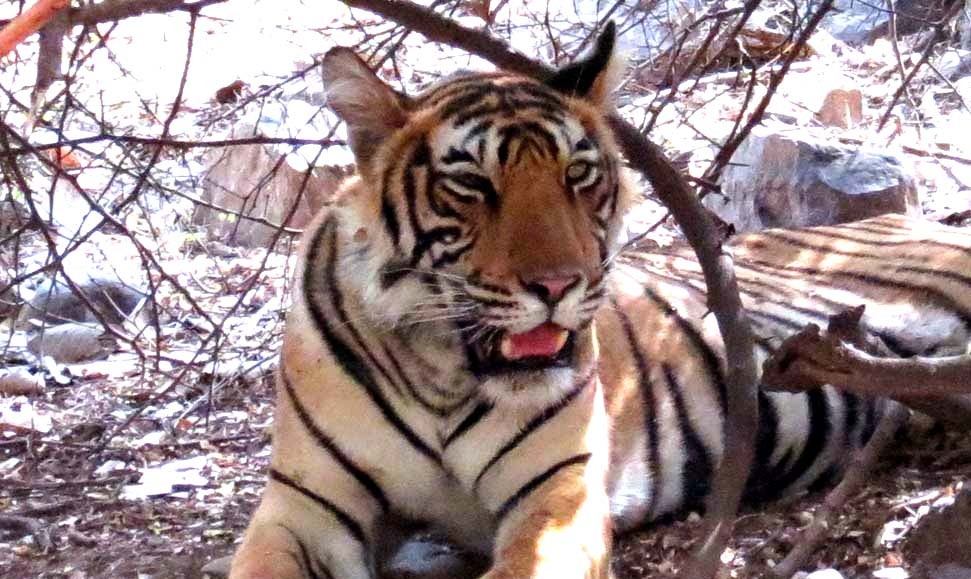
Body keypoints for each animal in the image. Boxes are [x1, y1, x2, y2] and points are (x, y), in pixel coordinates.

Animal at [230, 22, 971, 579]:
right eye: (472, 184)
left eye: (578, 174)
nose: (559, 285)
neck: (442, 373)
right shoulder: (305, 506)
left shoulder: (559, 489)